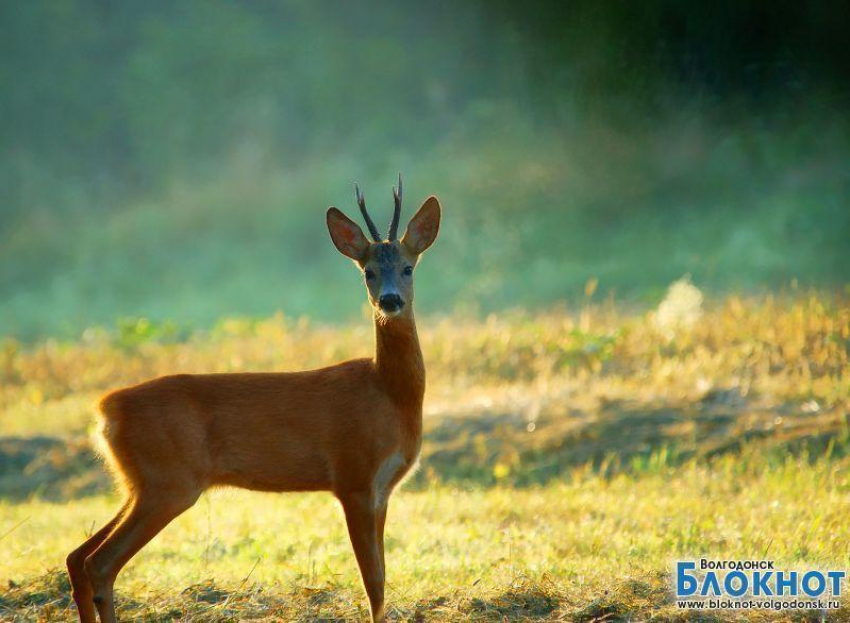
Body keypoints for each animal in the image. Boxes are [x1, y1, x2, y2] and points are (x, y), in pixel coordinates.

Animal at [63, 176, 440, 623]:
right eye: (368, 272)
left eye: (408, 267)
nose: (390, 300)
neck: (389, 394)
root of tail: (105, 411)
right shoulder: (354, 477)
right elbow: (374, 584)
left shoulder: (381, 489)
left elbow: (380, 577)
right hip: (169, 482)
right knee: (99, 562)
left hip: (139, 483)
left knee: (77, 556)